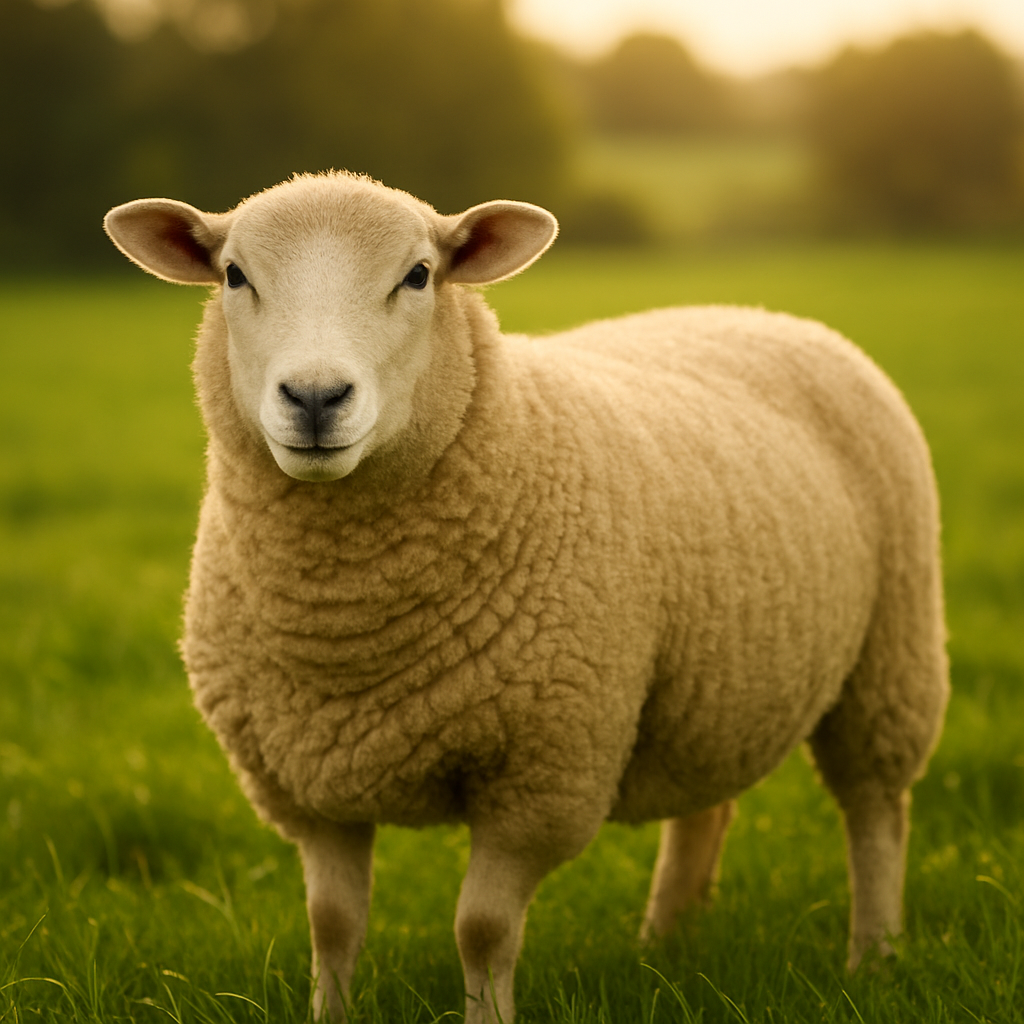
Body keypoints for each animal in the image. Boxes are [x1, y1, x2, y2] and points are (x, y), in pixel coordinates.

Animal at [103, 171, 948, 1024]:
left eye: (420, 275)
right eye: (234, 276)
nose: (315, 396)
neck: (349, 630)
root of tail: (753, 311)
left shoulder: (540, 772)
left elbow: (481, 929)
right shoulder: (308, 783)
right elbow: (332, 923)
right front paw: (329, 1013)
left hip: (891, 653)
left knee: (876, 810)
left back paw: (874, 957)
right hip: (713, 682)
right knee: (705, 804)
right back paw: (665, 943)